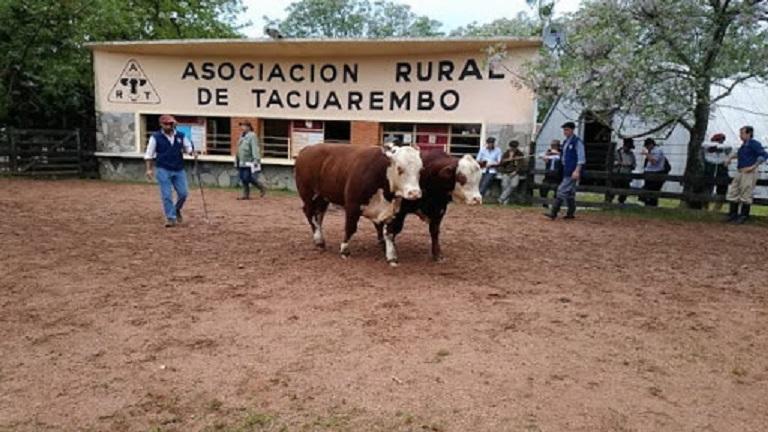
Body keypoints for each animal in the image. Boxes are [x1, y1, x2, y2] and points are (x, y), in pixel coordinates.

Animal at [296, 143, 426, 264]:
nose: (415, 193)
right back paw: (318, 239)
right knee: (309, 213)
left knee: (319, 214)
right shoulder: (352, 206)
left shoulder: (392, 211)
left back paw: (320, 238)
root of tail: (308, 148)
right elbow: (350, 228)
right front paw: (344, 250)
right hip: (308, 194)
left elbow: (389, 233)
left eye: (420, 170)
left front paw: (391, 256)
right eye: (399, 168)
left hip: (323, 197)